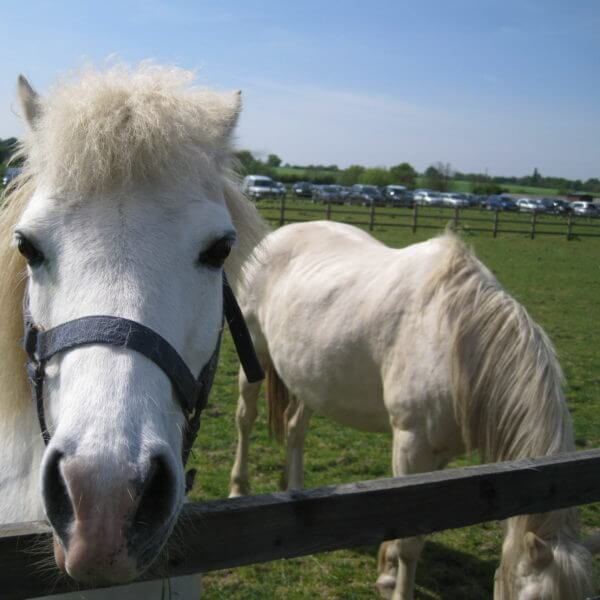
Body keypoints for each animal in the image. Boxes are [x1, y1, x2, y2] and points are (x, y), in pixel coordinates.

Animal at [229, 220, 596, 600]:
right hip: (254, 354)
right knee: (245, 419)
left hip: (308, 378)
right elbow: (410, 539)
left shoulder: (439, 453)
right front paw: (397, 583)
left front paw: (388, 570)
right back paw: (239, 488)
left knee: (294, 429)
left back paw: (297, 492)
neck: (456, 341)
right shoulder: (411, 442)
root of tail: (275, 237)